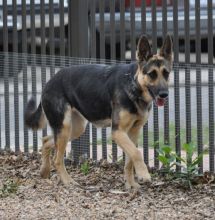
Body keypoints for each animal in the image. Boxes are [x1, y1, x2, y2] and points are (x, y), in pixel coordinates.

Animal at [24, 35, 173, 189]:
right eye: (152, 74)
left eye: (166, 73)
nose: (164, 94)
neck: (134, 83)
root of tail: (49, 82)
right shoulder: (118, 132)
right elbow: (137, 153)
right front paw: (144, 174)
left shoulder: (132, 132)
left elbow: (130, 160)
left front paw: (131, 184)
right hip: (65, 127)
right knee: (57, 159)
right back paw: (67, 181)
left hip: (75, 129)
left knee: (46, 140)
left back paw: (44, 170)